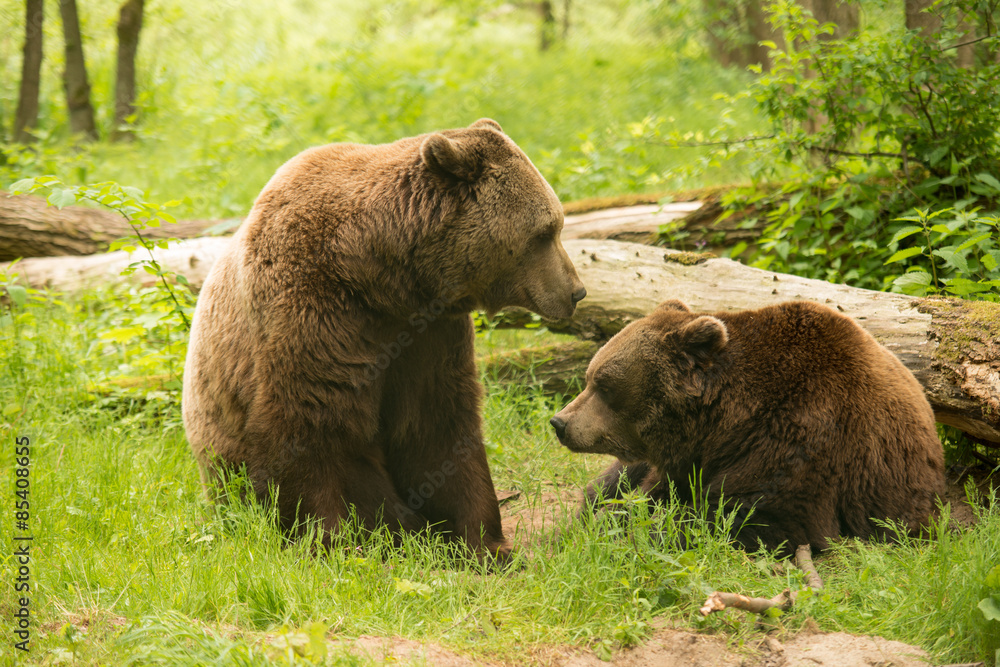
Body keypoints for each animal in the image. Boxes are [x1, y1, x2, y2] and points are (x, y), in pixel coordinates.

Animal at [182, 119, 586, 562]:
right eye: (545, 232)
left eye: (556, 224)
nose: (576, 291)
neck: (375, 274)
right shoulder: (311, 310)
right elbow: (309, 424)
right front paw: (332, 540)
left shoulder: (429, 333)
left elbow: (436, 423)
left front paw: (484, 542)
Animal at [549, 299, 945, 554]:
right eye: (590, 377)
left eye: (604, 385)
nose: (560, 422)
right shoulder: (688, 457)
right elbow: (645, 489)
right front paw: (597, 517)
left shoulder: (803, 437)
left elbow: (752, 514)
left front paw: (626, 528)